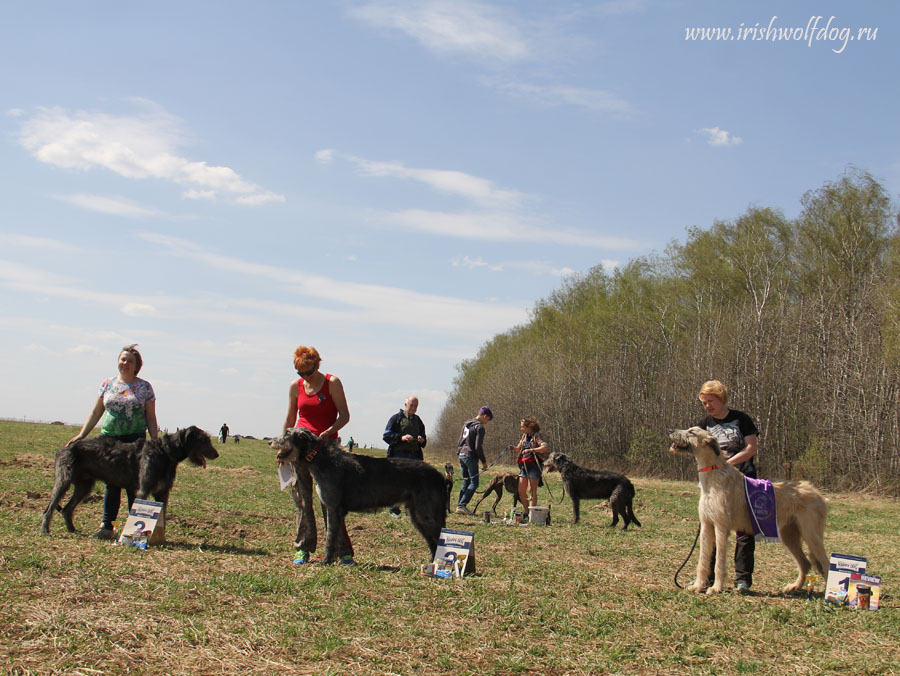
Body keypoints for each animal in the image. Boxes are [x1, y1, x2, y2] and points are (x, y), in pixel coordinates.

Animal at [40, 426, 220, 540]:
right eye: (204, 440)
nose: (217, 454)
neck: (165, 452)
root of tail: (66, 447)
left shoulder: (162, 493)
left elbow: (161, 517)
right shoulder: (143, 490)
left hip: (85, 485)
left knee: (67, 509)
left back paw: (72, 529)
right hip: (64, 479)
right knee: (49, 508)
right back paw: (45, 530)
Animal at [270, 428, 446, 564]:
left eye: (287, 433)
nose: (270, 441)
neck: (320, 457)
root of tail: (439, 475)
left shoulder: (333, 508)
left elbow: (329, 538)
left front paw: (325, 561)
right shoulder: (338, 511)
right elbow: (337, 536)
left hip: (426, 514)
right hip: (417, 515)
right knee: (433, 542)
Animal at [668, 426, 828, 596]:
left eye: (691, 432)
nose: (670, 430)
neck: (713, 474)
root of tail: (817, 492)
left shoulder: (721, 527)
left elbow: (719, 561)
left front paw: (716, 588)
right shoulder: (706, 525)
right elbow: (703, 559)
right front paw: (698, 586)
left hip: (811, 534)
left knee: (825, 562)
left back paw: (830, 595)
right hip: (789, 534)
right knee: (805, 563)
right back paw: (795, 586)